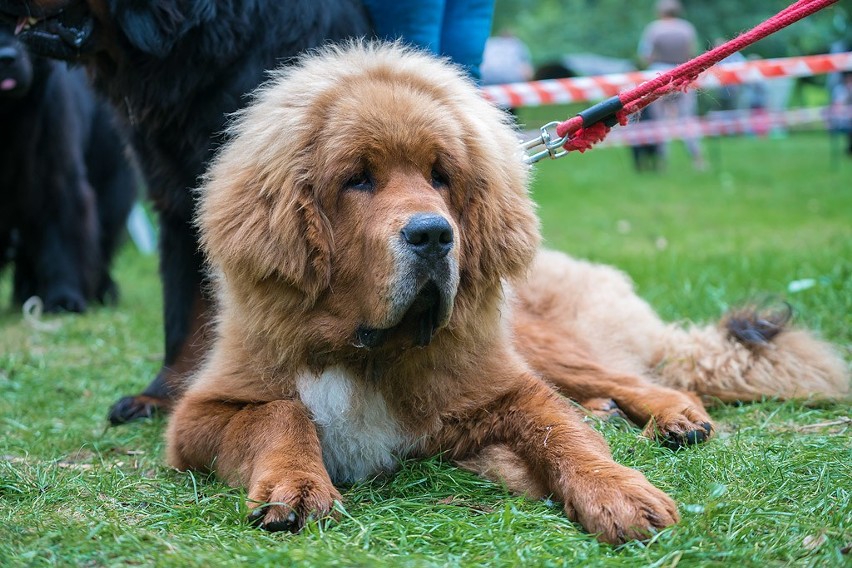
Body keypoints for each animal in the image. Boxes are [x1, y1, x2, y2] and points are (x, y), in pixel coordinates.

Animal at [165, 43, 844, 540]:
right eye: (356, 179)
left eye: (441, 176)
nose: (434, 234)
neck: (370, 354)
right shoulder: (196, 417)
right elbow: (279, 412)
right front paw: (297, 484)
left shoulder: (509, 383)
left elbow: (560, 430)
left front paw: (619, 490)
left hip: (546, 345)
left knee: (631, 377)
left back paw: (671, 414)